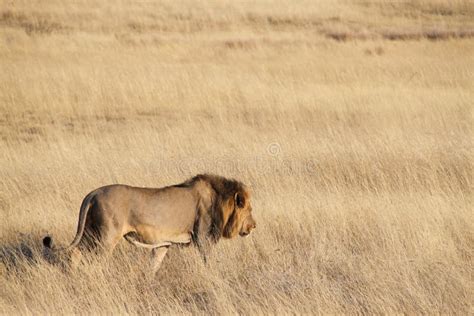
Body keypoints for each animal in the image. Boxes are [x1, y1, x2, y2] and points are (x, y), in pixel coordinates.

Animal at [43, 174, 258, 272]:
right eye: (249, 210)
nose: (254, 225)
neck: (221, 201)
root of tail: (93, 193)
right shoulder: (203, 239)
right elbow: (208, 262)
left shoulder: (164, 243)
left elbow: (154, 265)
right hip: (106, 237)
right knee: (95, 260)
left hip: (91, 231)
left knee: (76, 252)